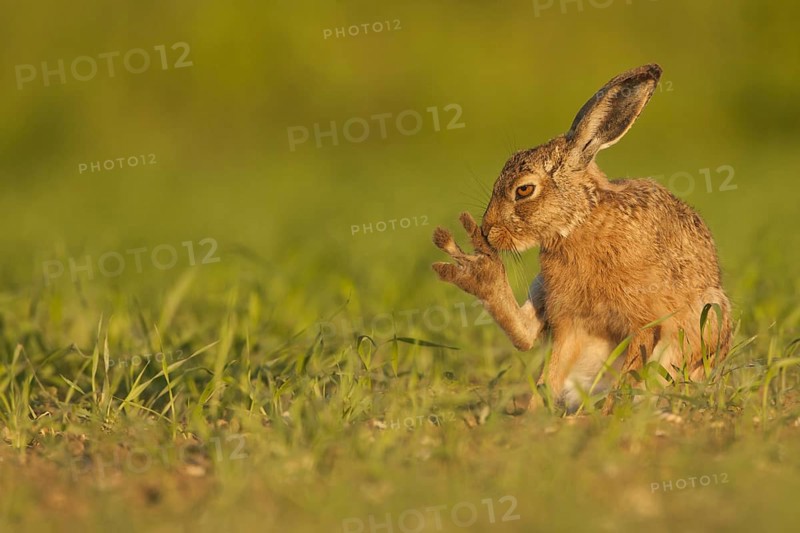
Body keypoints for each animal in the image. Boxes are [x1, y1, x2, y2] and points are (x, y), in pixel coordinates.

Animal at [431, 64, 732, 413]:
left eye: (524, 189)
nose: (489, 230)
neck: (580, 221)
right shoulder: (569, 321)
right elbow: (550, 369)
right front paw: (539, 414)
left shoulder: (643, 321)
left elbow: (633, 366)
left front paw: (610, 414)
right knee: (527, 338)